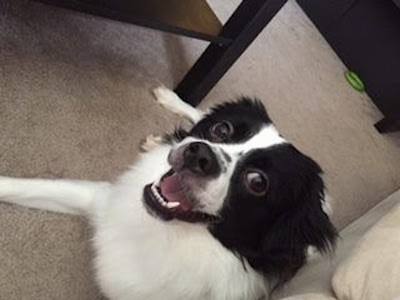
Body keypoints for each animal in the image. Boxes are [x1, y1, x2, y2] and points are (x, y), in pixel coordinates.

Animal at [0, 87, 338, 300]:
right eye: (222, 130)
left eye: (257, 182)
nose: (199, 154)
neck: (161, 233)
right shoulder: (101, 199)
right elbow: (23, 186)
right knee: (198, 111)